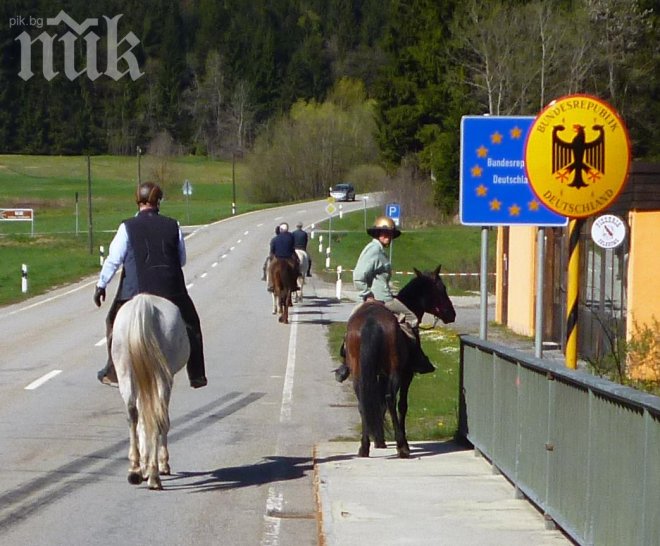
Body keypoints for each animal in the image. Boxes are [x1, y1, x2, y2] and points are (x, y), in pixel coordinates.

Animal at [111, 294, 188, 488]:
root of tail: (144, 303)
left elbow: (142, 424)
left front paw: (143, 466)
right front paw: (160, 465)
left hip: (125, 373)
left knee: (133, 415)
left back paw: (135, 470)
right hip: (163, 377)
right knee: (159, 418)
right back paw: (155, 474)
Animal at [342, 266, 456, 456]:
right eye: (442, 288)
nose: (451, 314)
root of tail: (370, 321)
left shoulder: (378, 375)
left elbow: (378, 402)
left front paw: (379, 440)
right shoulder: (407, 374)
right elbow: (402, 405)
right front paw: (401, 441)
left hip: (358, 371)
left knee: (362, 400)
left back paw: (364, 446)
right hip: (395, 371)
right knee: (390, 399)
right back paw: (402, 446)